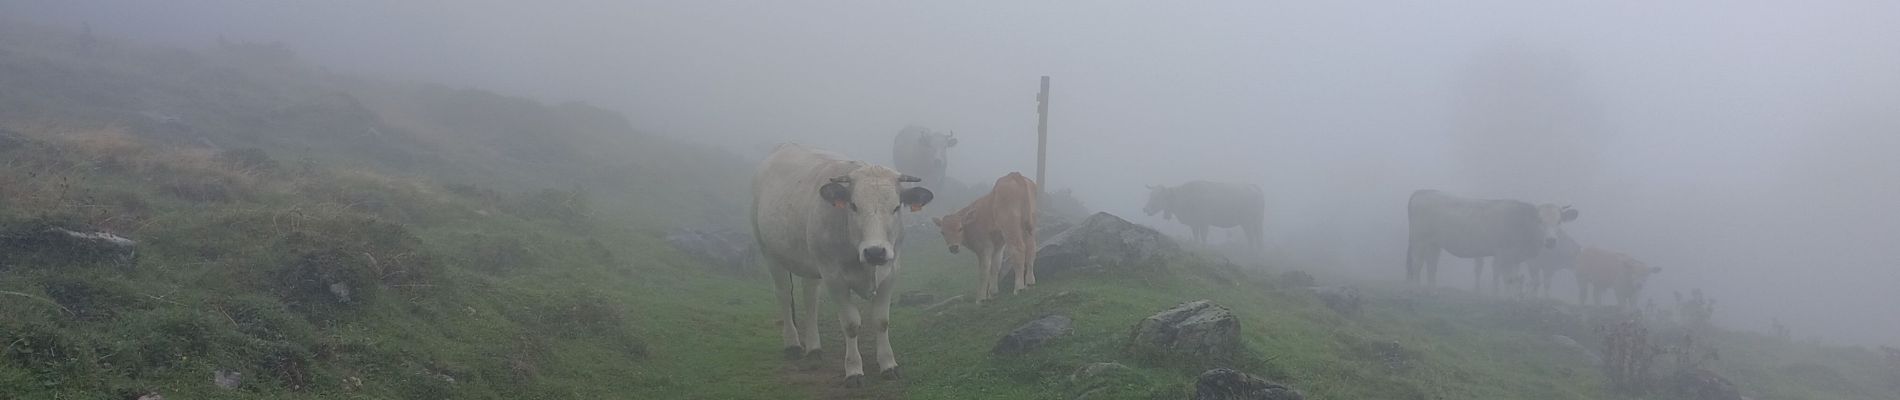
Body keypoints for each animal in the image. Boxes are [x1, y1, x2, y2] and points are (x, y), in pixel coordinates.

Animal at [752, 142, 938, 386]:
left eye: (897, 207)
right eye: (854, 205)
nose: (875, 251)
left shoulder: (890, 272)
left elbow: (881, 320)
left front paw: (888, 365)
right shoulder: (834, 277)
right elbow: (850, 324)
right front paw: (854, 370)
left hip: (810, 261)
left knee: (810, 299)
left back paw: (814, 348)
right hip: (769, 251)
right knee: (783, 294)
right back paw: (792, 345)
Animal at [934, 172, 1041, 303]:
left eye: (960, 228)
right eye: (942, 232)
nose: (953, 247)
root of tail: (1015, 175)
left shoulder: (984, 247)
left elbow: (984, 269)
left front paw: (980, 298)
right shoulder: (998, 246)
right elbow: (995, 266)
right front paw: (992, 293)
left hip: (1010, 228)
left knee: (1018, 250)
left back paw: (1019, 288)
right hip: (1029, 227)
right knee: (1031, 248)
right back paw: (1030, 283)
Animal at [1406, 188, 1580, 295]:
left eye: (1559, 221)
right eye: (1539, 220)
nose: (1551, 240)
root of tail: (1423, 191)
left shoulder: (1516, 258)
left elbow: (1516, 279)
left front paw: (1516, 299)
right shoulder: (1503, 254)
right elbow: (1507, 279)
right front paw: (1508, 300)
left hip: (1434, 243)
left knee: (1432, 265)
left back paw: (1433, 291)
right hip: (1419, 240)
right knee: (1417, 263)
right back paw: (1415, 290)